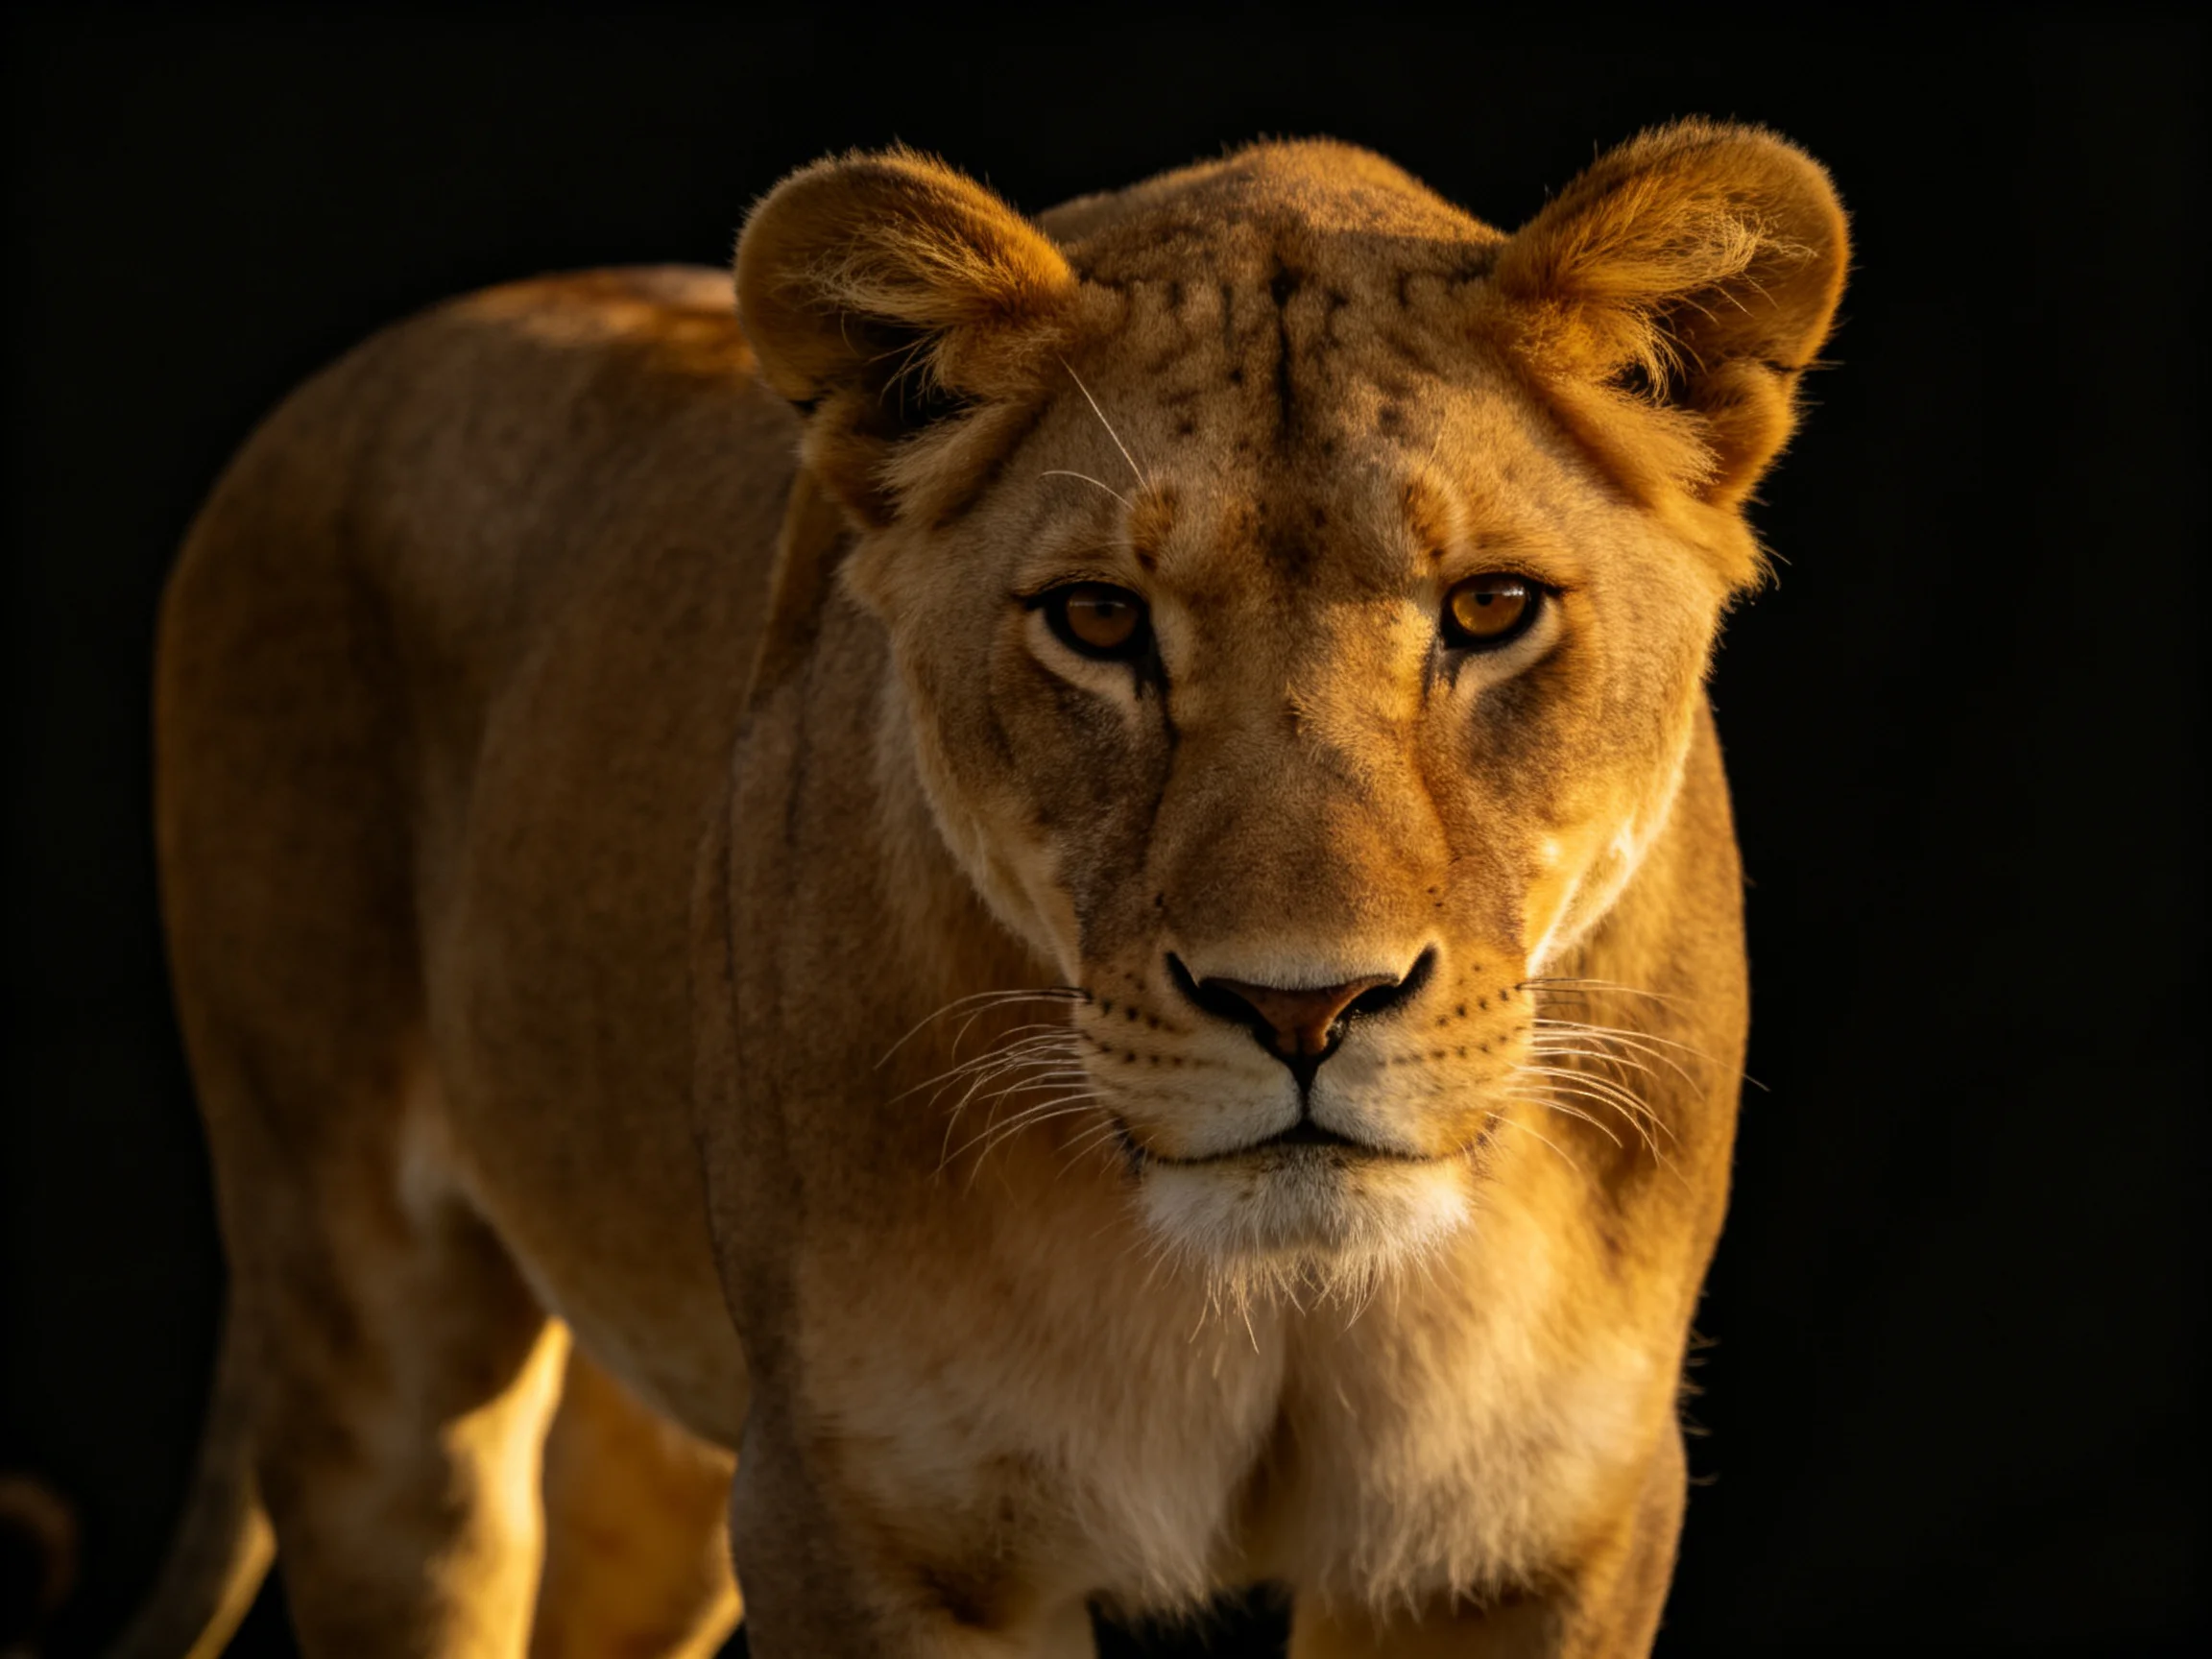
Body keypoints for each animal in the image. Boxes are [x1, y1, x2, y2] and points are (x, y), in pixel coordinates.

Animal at [123, 121, 1846, 1658]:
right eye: (1097, 620)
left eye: (1488, 610)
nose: (1301, 1006)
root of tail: (352, 374)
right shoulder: (873, 1518)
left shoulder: (1519, 1540)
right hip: (372, 1358)